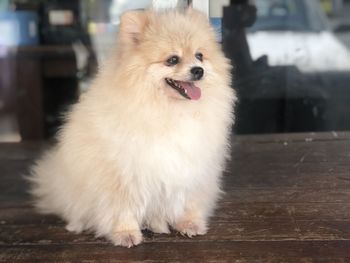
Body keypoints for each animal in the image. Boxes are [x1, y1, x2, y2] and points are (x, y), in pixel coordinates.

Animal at [29, 7, 235, 248]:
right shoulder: (122, 175)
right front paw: (125, 233)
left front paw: (190, 223)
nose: (198, 70)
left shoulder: (192, 168)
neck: (170, 110)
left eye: (199, 56)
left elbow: (188, 200)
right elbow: (122, 208)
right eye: (172, 60)